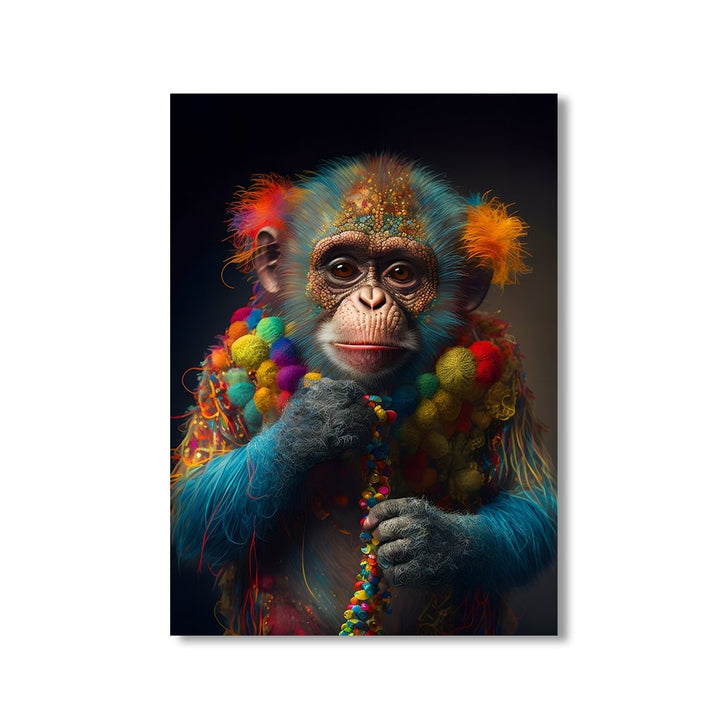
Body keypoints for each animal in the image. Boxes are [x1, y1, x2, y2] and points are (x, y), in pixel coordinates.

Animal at [171, 154, 557, 635]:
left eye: (401, 273)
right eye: (342, 270)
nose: (372, 300)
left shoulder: (505, 367)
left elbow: (533, 504)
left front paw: (432, 540)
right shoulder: (221, 368)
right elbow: (191, 509)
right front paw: (311, 425)